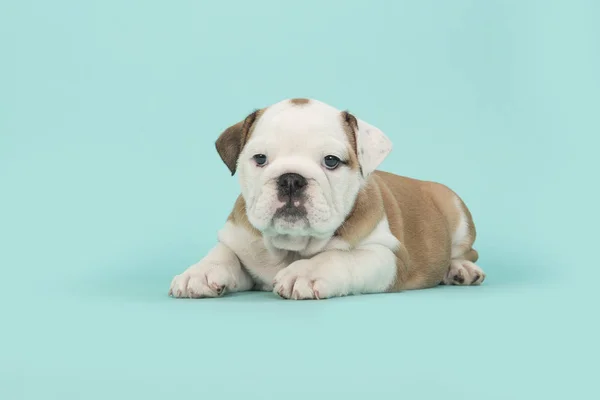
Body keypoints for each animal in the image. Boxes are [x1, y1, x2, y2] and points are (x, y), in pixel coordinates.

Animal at [168, 97, 482, 300]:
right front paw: (200, 273)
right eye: (260, 158)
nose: (291, 179)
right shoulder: (239, 238)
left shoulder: (388, 255)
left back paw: (461, 269)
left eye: (331, 161)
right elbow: (224, 253)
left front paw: (306, 272)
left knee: (465, 251)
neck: (290, 247)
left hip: (456, 210)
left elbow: (339, 257)